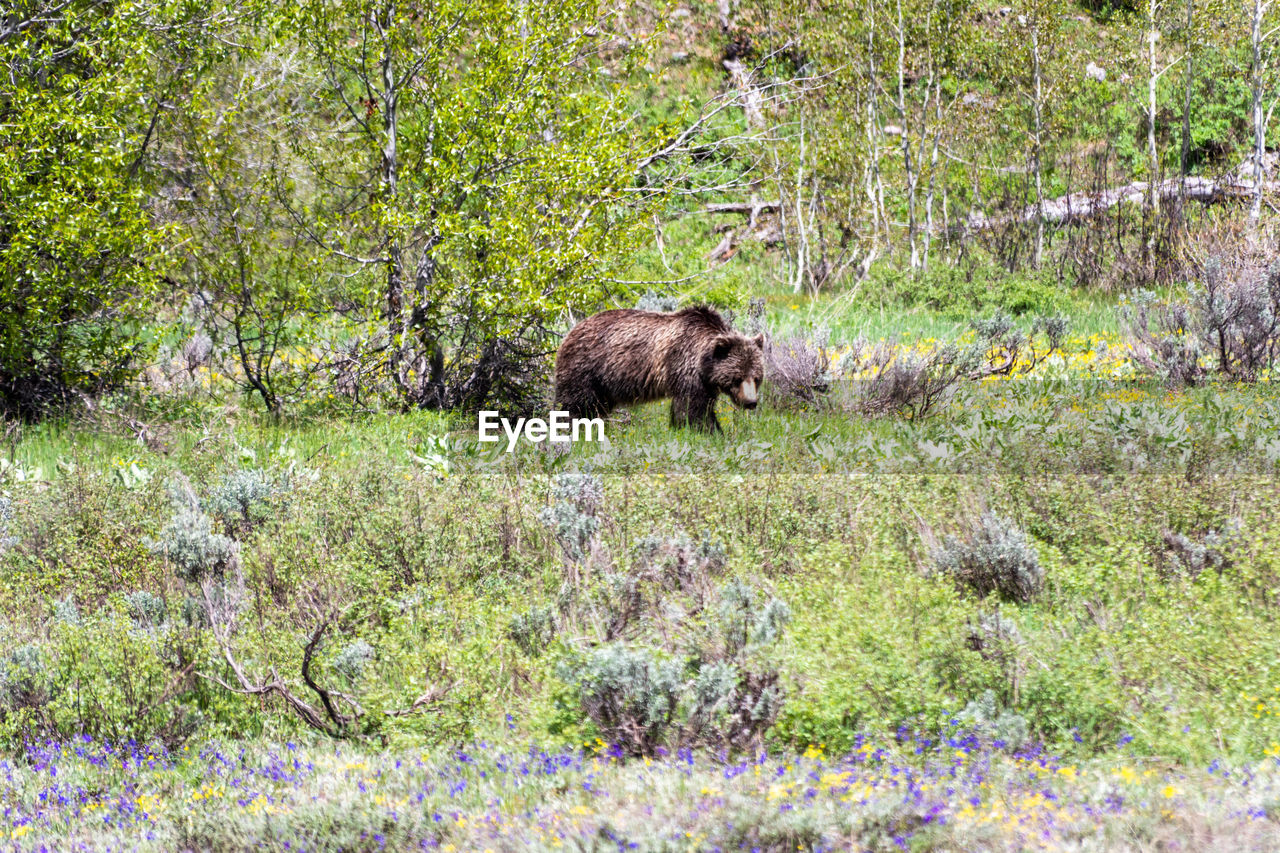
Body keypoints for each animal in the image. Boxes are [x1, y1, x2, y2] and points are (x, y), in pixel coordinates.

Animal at [555, 303, 762, 432]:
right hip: (586, 369)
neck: (703, 362)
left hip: (603, 386)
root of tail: (571, 331)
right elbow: (692, 409)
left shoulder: (706, 382)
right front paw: (707, 432)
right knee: (576, 405)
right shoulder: (684, 366)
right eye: (738, 377)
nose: (751, 402)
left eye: (757, 378)